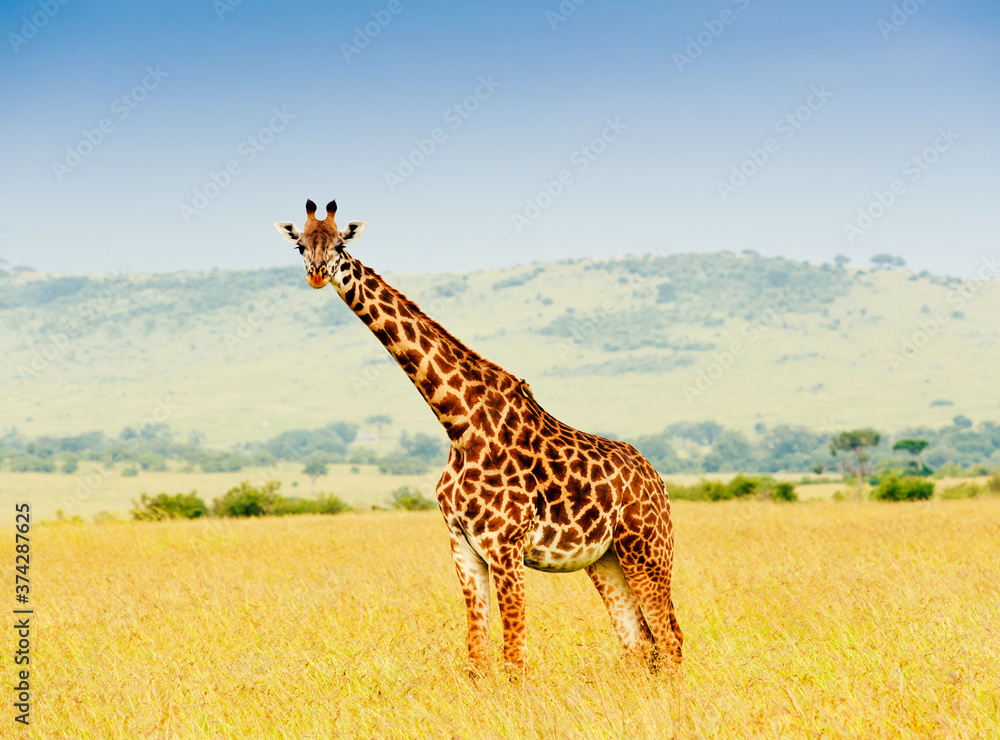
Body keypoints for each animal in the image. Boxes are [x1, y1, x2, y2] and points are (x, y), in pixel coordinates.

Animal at [275, 199, 683, 673]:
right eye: (301, 245)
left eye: (340, 244)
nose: (317, 273)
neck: (458, 421)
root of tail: (657, 479)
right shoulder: (463, 548)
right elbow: (476, 655)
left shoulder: (505, 547)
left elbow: (514, 659)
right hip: (606, 558)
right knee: (639, 644)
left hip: (648, 548)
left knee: (671, 640)